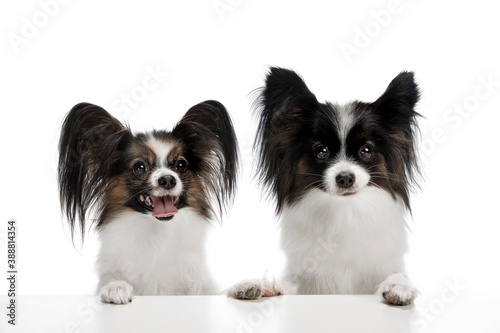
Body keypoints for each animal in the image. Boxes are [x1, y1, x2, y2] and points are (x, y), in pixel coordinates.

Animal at [58, 101, 238, 304]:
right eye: (139, 167)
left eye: (181, 165)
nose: (168, 180)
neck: (156, 233)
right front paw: (116, 287)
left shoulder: (202, 287)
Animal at [230, 68, 422, 306]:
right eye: (321, 151)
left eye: (367, 150)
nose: (345, 178)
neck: (345, 211)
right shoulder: (305, 281)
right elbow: (284, 285)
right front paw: (259, 284)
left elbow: (396, 275)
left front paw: (398, 286)